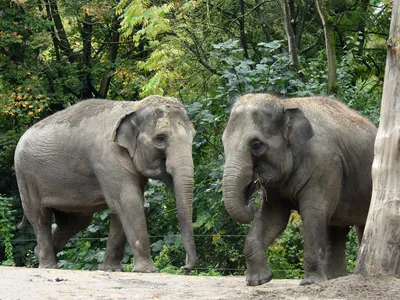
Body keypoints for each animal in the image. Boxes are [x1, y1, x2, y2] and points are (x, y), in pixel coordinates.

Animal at [14, 95, 196, 272]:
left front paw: (112, 270)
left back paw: (38, 253)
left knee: (74, 222)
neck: (134, 107)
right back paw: (48, 265)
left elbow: (121, 208)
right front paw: (147, 271)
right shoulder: (108, 157)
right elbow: (128, 203)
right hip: (26, 175)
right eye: (160, 138)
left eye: (193, 136)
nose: (185, 267)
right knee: (40, 217)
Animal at [222, 94, 378, 286]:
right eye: (223, 142)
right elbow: (273, 217)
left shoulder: (324, 163)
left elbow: (313, 212)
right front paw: (258, 281)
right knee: (338, 229)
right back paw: (334, 279)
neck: (285, 104)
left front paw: (310, 283)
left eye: (257, 145)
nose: (251, 201)